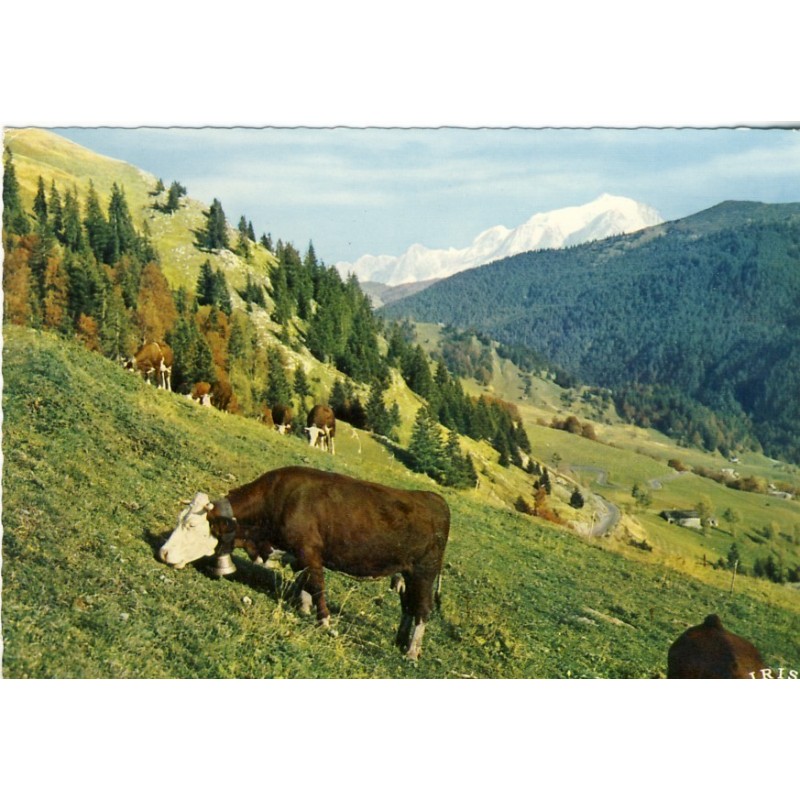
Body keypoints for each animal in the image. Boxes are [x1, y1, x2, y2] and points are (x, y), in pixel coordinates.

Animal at [159, 466, 450, 660]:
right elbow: (306, 582)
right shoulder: (300, 554)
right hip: (408, 572)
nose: (163, 552)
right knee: (408, 607)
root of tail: (435, 498)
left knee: (422, 610)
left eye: (191, 524)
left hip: (425, 572)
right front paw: (304, 608)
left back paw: (411, 652)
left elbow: (318, 585)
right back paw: (400, 640)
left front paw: (324, 622)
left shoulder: (310, 551)